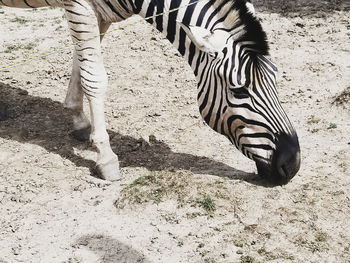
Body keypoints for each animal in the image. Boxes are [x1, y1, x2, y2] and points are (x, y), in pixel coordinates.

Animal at [0, 0, 300, 186]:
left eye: (276, 77)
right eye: (239, 90)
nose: (293, 165)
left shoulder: (99, 14)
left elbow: (81, 64)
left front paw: (79, 119)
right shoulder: (80, 7)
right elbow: (95, 77)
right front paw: (105, 156)